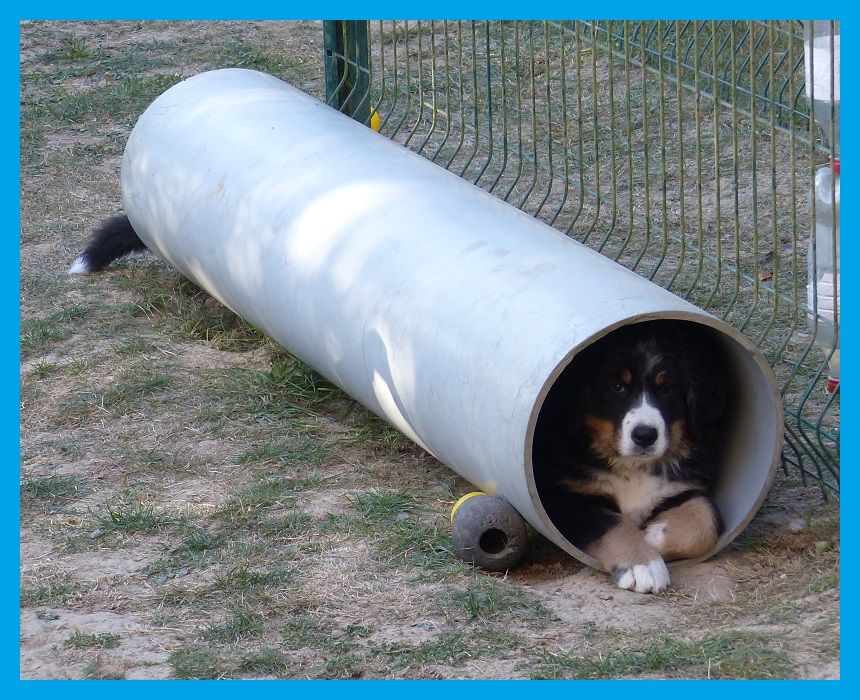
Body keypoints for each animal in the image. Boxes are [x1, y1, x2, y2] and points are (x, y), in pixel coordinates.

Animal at [536, 320, 728, 592]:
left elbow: (706, 522)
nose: (645, 436)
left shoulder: (686, 487)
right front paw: (642, 563)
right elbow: (614, 522)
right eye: (617, 387)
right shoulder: (564, 498)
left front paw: (652, 535)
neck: (634, 467)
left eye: (667, 388)